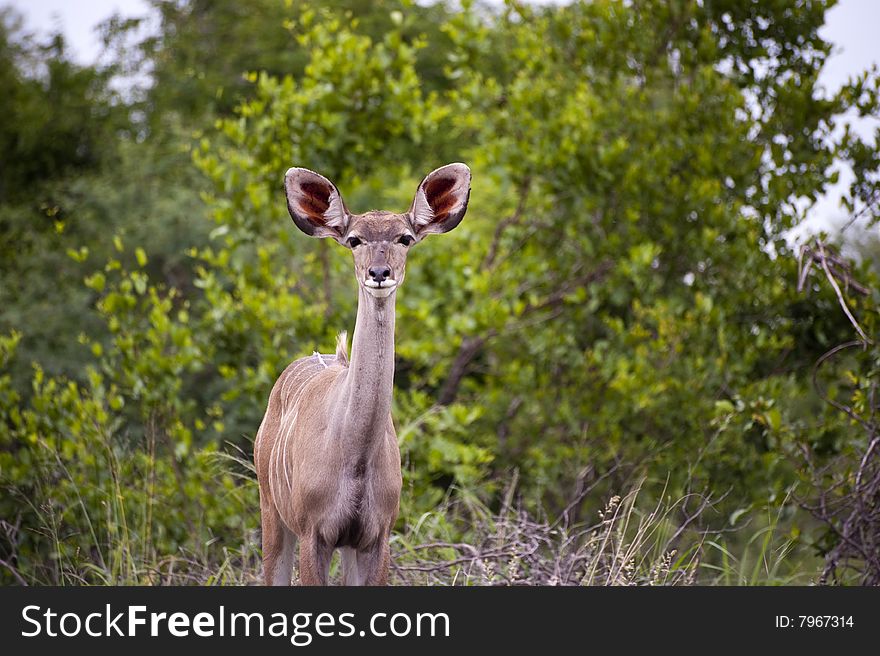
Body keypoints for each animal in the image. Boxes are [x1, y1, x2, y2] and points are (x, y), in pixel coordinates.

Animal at [254, 163, 470, 584]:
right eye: (354, 240)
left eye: (405, 238)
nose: (379, 272)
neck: (354, 454)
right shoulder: (313, 533)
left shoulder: (375, 536)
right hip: (272, 512)